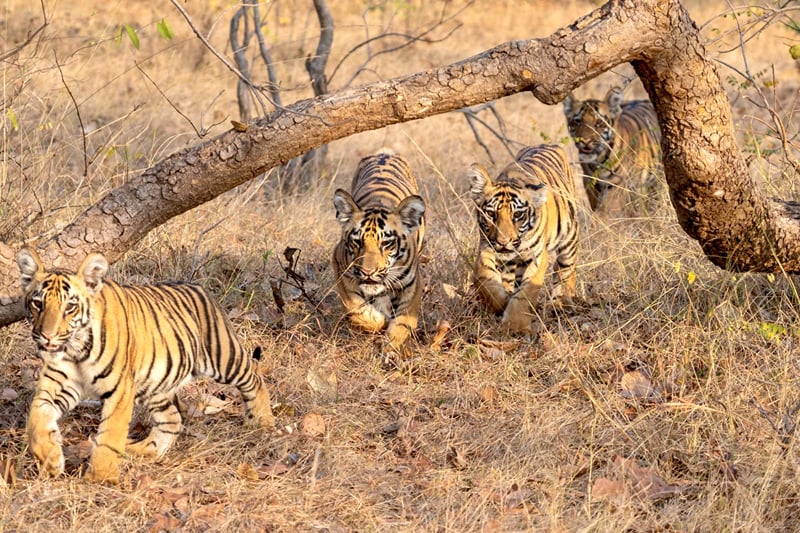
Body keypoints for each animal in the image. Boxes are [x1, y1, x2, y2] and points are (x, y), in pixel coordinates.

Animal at [16, 247, 275, 484]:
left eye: (69, 307)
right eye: (38, 304)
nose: (47, 336)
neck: (74, 350)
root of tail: (198, 286)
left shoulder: (120, 390)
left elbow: (110, 434)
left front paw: (100, 477)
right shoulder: (58, 384)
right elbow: (37, 418)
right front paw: (50, 460)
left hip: (223, 357)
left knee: (254, 377)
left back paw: (262, 422)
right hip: (154, 384)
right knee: (172, 419)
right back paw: (143, 450)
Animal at [332, 152, 426, 359]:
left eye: (386, 243)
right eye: (357, 242)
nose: (368, 272)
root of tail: (385, 153)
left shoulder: (412, 284)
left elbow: (402, 324)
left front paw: (391, 350)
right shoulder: (341, 268)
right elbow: (357, 310)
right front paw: (380, 320)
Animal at [469, 144, 578, 334]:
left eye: (517, 215)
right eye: (491, 214)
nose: (503, 242)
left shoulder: (536, 256)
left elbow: (525, 293)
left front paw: (515, 326)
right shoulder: (486, 248)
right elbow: (486, 280)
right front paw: (502, 304)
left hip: (569, 240)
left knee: (565, 270)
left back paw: (562, 302)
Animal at [562, 86, 662, 214]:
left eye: (599, 122)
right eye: (578, 121)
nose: (585, 141)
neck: (598, 161)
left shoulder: (616, 183)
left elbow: (606, 211)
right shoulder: (590, 182)